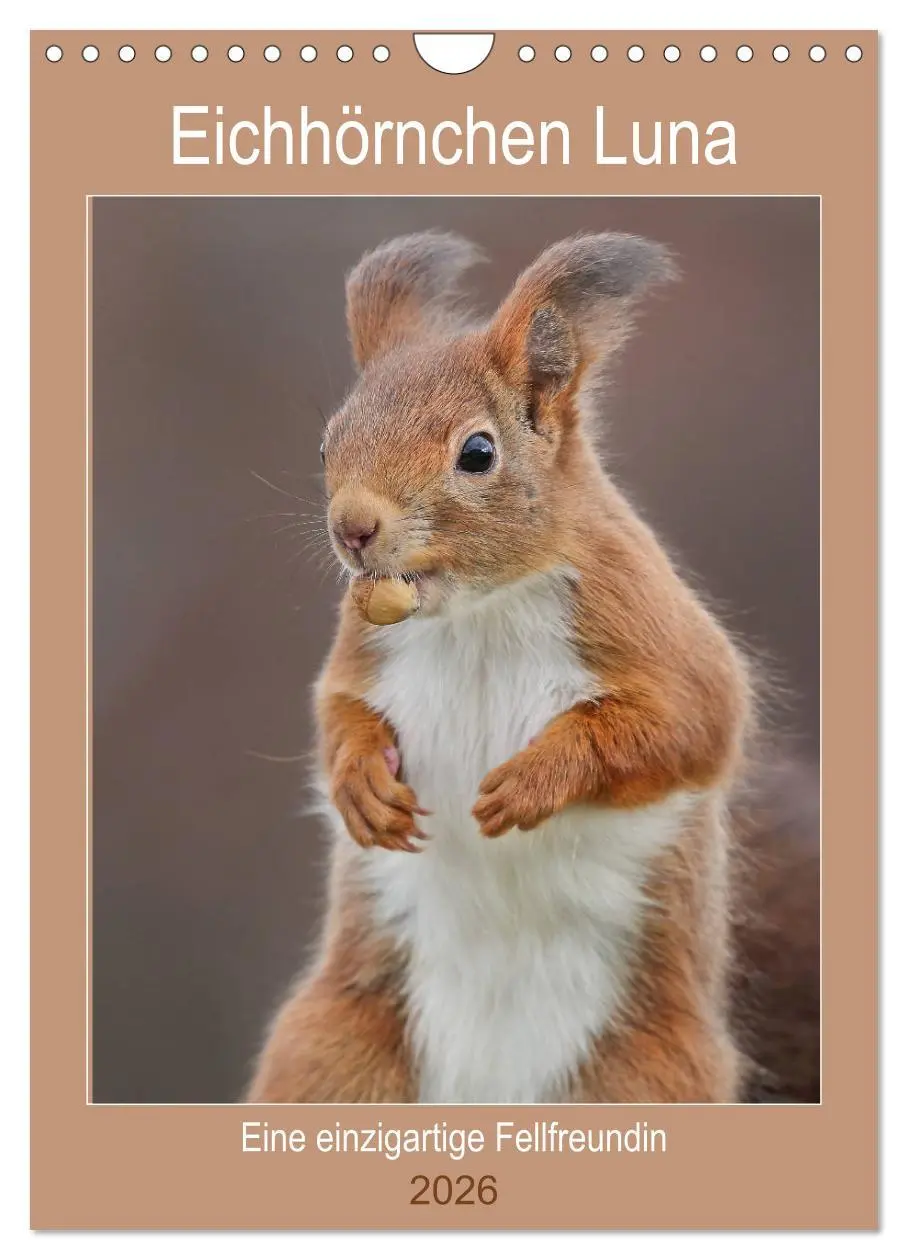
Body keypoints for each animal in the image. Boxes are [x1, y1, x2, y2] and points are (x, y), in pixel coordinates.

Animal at [246, 231, 819, 1105]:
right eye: (328, 440)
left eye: (477, 453)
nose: (353, 529)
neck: (477, 613)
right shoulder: (364, 644)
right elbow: (337, 710)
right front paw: (361, 784)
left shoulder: (650, 628)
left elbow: (689, 724)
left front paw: (535, 778)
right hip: (332, 1057)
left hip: (644, 1079)